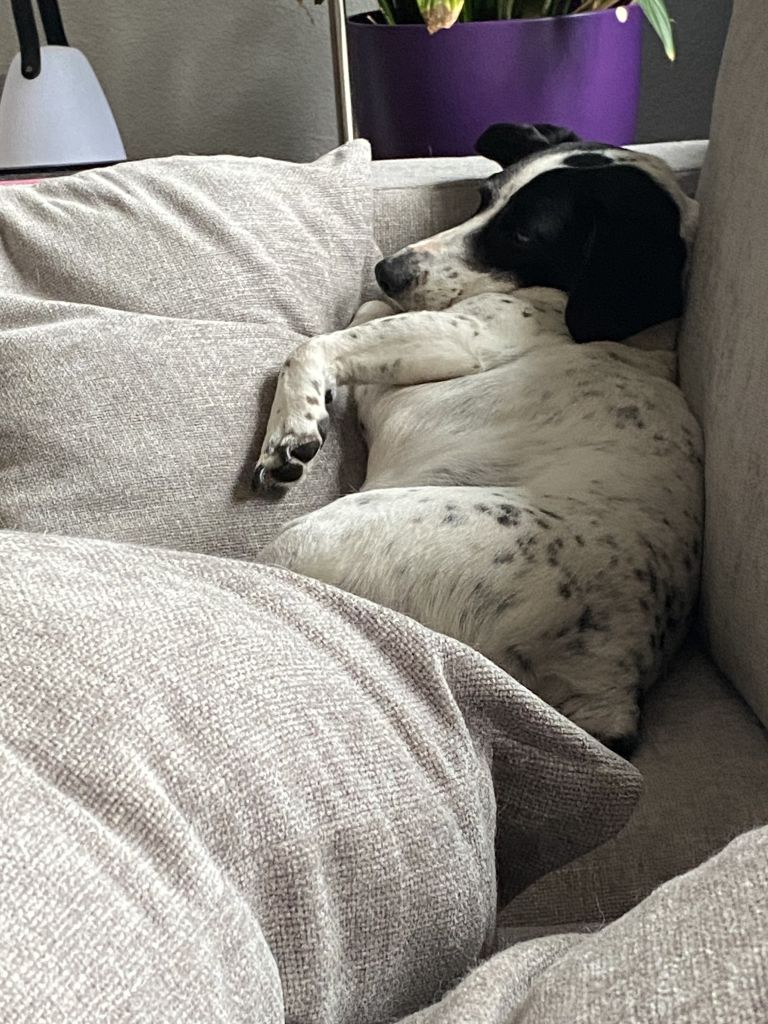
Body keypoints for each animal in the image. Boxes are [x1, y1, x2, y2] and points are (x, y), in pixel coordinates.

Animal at [253, 123, 704, 755]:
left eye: (520, 234)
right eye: (483, 197)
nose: (387, 269)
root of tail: (611, 681)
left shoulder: (459, 338)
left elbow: (320, 342)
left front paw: (293, 426)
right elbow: (361, 315)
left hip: (310, 542)